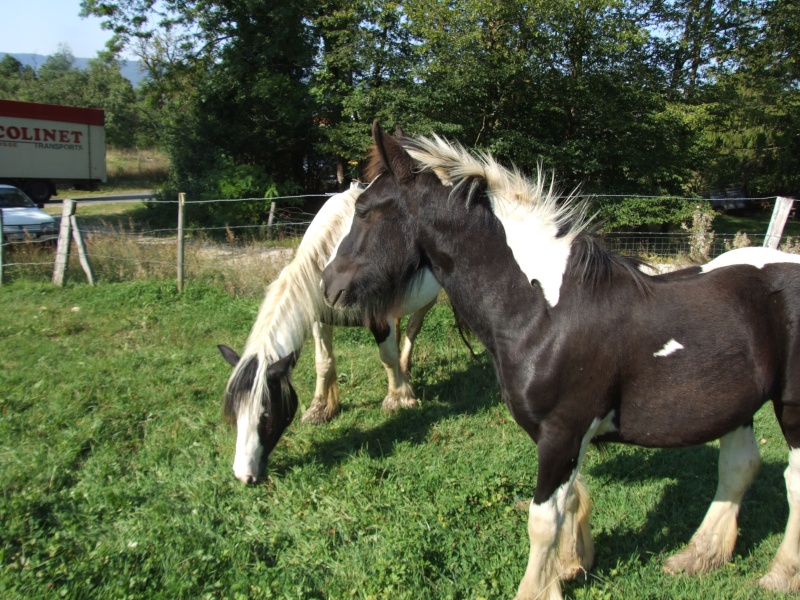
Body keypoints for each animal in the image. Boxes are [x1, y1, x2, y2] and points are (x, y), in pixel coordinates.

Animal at [222, 183, 440, 482]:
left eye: (265, 415)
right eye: (235, 412)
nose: (244, 475)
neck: (333, 250)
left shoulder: (377, 318)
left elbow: (387, 358)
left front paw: (399, 399)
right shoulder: (319, 318)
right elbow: (323, 363)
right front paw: (320, 409)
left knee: (413, 327)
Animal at [320, 123, 800, 600]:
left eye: (363, 210)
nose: (328, 284)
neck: (544, 310)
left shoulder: (562, 433)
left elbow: (543, 520)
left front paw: (538, 586)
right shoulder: (565, 438)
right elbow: (572, 502)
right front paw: (572, 566)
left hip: (790, 409)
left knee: (793, 481)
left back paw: (778, 574)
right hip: (736, 405)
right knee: (738, 467)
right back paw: (697, 556)